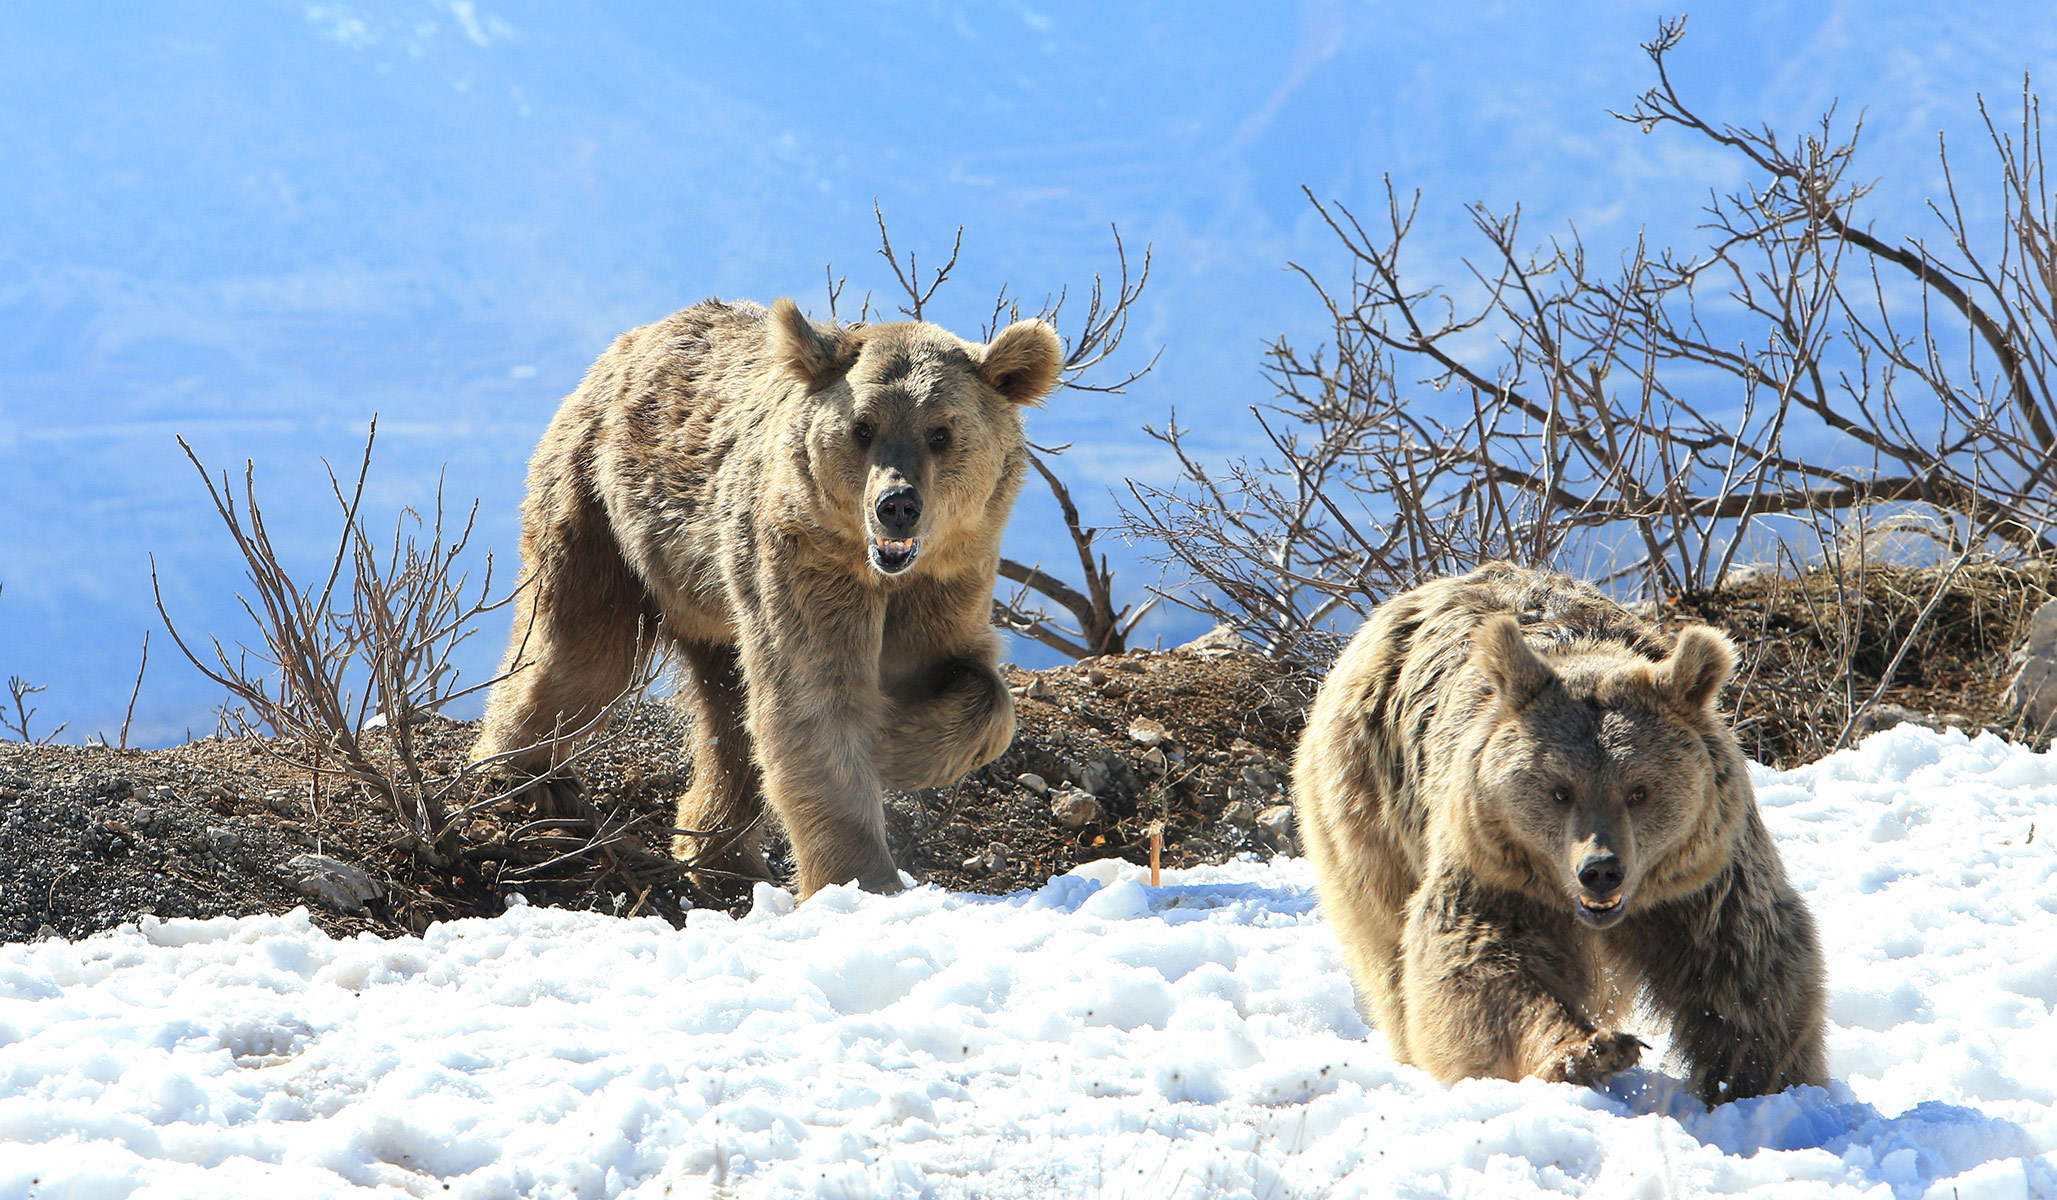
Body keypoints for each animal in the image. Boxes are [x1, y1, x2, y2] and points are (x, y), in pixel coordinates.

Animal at [469, 297, 1062, 897]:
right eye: (863, 427)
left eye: (940, 432)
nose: (896, 505)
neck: (878, 570)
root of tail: (627, 342)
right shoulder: (805, 559)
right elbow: (813, 699)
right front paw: (864, 874)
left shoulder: (951, 576)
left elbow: (972, 682)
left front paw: (900, 743)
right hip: (604, 513)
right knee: (584, 652)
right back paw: (530, 776)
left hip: (708, 594)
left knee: (726, 715)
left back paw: (719, 851)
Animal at [1293, 562, 1827, 1105]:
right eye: (1560, 790)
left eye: (1639, 790)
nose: (1601, 870)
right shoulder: (1499, 870)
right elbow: (1481, 967)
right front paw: (1588, 1051)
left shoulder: (1702, 877)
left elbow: (1751, 971)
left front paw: (1759, 1078)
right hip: (1370, 795)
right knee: (1386, 939)